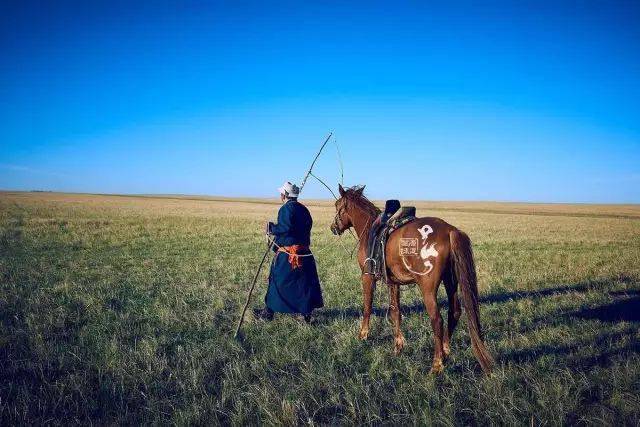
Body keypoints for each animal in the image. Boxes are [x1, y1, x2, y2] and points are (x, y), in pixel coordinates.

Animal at [332, 186, 492, 372]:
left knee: (437, 320)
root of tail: (449, 230)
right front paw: (398, 345)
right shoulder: (393, 282)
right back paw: (445, 351)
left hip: (428, 288)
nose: (333, 227)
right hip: (451, 280)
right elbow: (395, 312)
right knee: (454, 312)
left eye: (337, 205)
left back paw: (437, 364)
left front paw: (363, 335)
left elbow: (367, 306)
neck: (370, 229)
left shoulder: (367, 277)